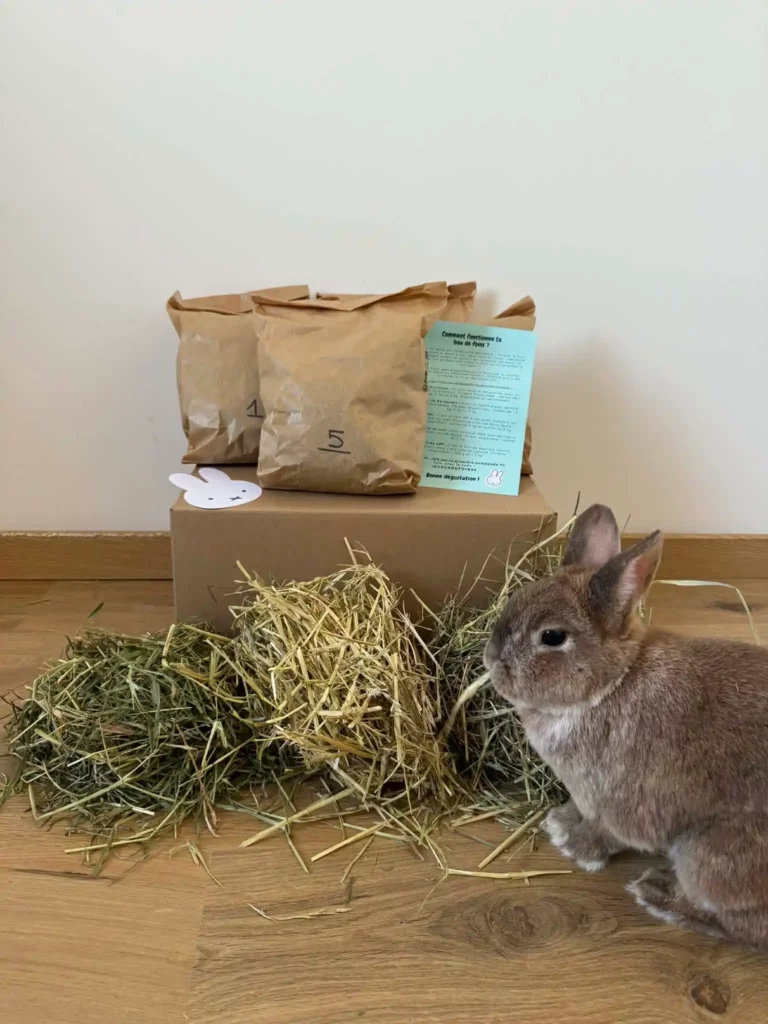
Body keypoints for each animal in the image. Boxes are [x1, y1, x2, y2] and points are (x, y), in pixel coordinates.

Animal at [483, 503, 768, 950]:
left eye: (552, 636)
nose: (491, 659)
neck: (611, 684)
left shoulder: (616, 803)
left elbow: (604, 833)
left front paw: (571, 844)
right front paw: (560, 821)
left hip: (706, 857)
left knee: (747, 928)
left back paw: (660, 895)